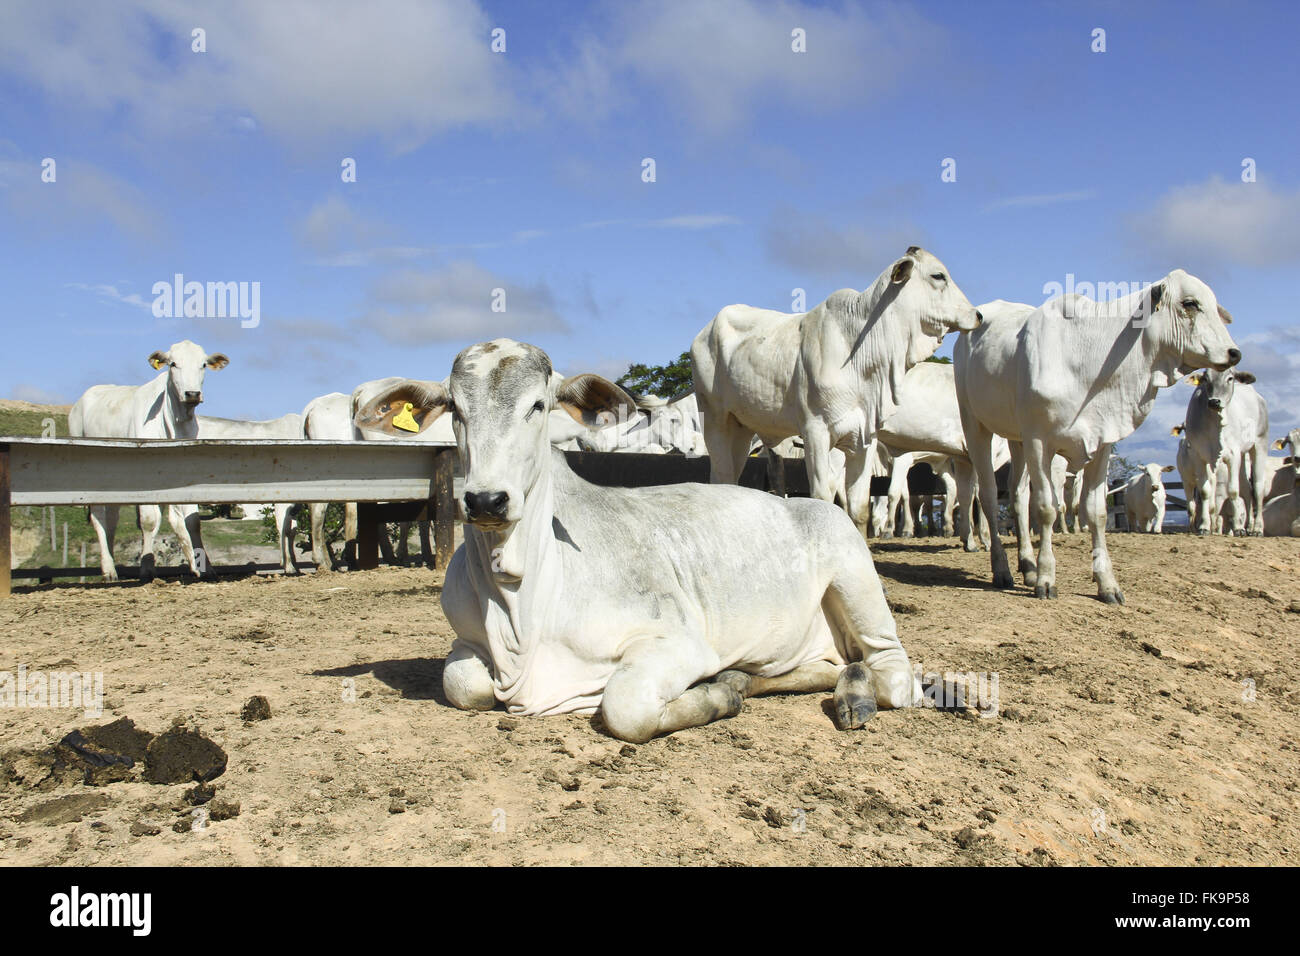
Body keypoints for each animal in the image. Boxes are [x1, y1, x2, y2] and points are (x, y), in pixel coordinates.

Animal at [67, 343, 230, 582]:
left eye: (203, 364)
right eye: (173, 364)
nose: (192, 394)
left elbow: (189, 522)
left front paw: (203, 566)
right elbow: (149, 520)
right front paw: (147, 567)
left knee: (111, 520)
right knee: (99, 517)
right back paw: (108, 569)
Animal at [356, 340, 925, 743]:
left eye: (537, 406)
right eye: (455, 408)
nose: (486, 500)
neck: (519, 602)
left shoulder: (676, 640)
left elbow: (624, 706)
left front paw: (714, 700)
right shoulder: (466, 643)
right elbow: (463, 684)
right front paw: (723, 688)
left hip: (855, 576)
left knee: (895, 674)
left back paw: (855, 699)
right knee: (823, 666)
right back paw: (744, 679)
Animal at [696, 244, 977, 538]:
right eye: (938, 276)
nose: (977, 315)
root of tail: (704, 332)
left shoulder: (864, 439)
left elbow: (859, 507)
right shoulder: (816, 432)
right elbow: (822, 498)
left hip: (740, 428)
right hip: (716, 420)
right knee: (721, 476)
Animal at [956, 274, 1237, 606]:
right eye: (1190, 303)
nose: (1234, 352)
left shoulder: (1101, 442)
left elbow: (1097, 513)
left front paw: (1107, 583)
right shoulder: (1039, 441)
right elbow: (1047, 509)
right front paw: (1047, 578)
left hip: (1017, 438)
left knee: (1018, 496)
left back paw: (1027, 566)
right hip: (975, 423)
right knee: (987, 495)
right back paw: (1002, 569)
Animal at [1185, 366, 1263, 535]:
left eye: (1230, 378)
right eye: (1205, 379)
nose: (1214, 401)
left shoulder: (1233, 455)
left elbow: (1233, 490)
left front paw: (1238, 528)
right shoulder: (1198, 456)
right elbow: (1205, 491)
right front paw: (1204, 526)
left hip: (1260, 444)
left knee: (1258, 488)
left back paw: (1257, 528)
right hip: (1243, 454)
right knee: (1246, 489)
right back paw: (1248, 526)